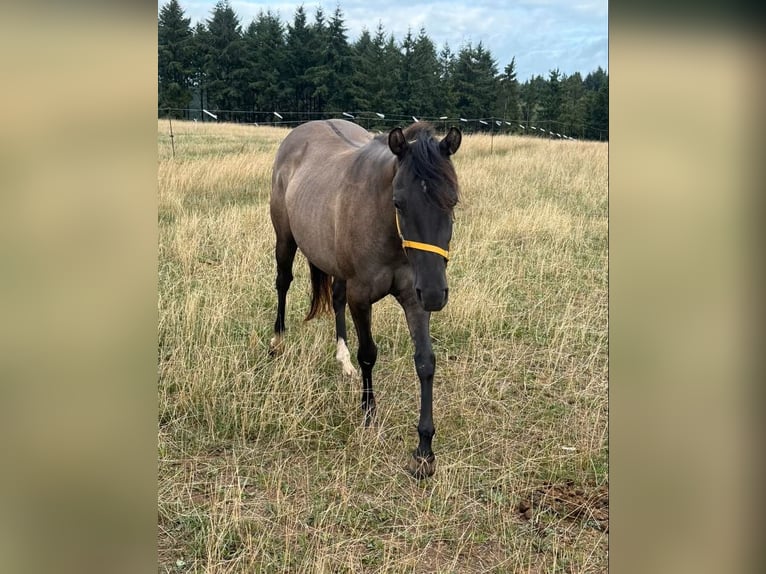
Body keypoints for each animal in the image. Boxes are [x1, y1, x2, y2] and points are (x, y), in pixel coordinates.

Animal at [268, 119, 461, 478]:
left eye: (452, 201)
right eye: (398, 203)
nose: (435, 295)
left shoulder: (413, 298)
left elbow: (425, 362)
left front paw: (424, 450)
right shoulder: (362, 297)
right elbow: (369, 354)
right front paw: (369, 414)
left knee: (336, 299)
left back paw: (342, 360)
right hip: (285, 239)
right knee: (283, 282)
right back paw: (277, 342)